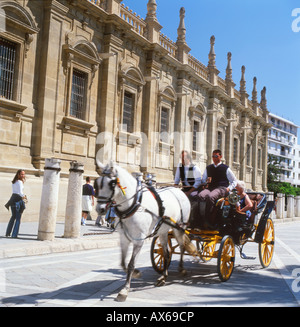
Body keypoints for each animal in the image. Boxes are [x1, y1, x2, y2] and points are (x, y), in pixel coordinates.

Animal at [95, 161, 191, 302]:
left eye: (112, 183)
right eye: (97, 182)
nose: (100, 209)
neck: (133, 205)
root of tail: (179, 191)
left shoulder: (138, 241)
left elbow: (131, 264)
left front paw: (124, 290)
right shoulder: (124, 239)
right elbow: (123, 263)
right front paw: (136, 274)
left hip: (179, 227)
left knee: (182, 246)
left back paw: (182, 269)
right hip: (163, 231)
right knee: (166, 253)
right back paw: (163, 276)